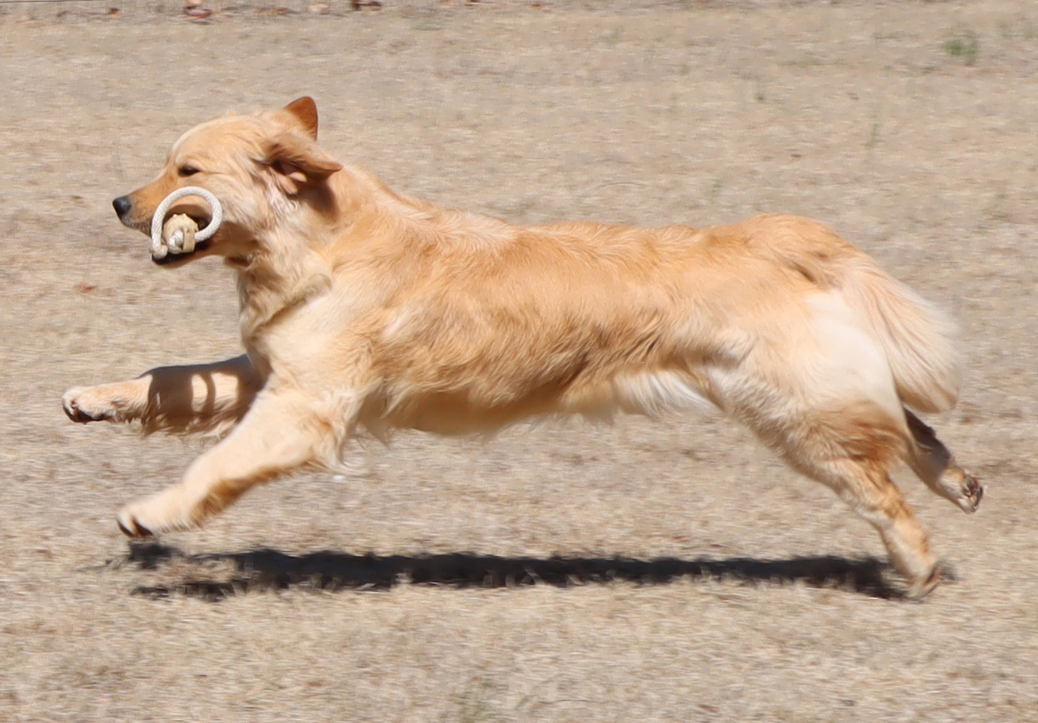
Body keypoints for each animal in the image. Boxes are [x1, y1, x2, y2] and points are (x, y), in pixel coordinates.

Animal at [63, 97, 982, 598]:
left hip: (794, 413)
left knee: (883, 483)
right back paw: (959, 481)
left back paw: (921, 562)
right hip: (805, 397)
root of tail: (773, 237)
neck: (319, 242)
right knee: (908, 425)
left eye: (185, 169)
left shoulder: (304, 411)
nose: (117, 203)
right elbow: (171, 380)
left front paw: (150, 513)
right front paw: (94, 398)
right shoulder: (268, 374)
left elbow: (212, 467)